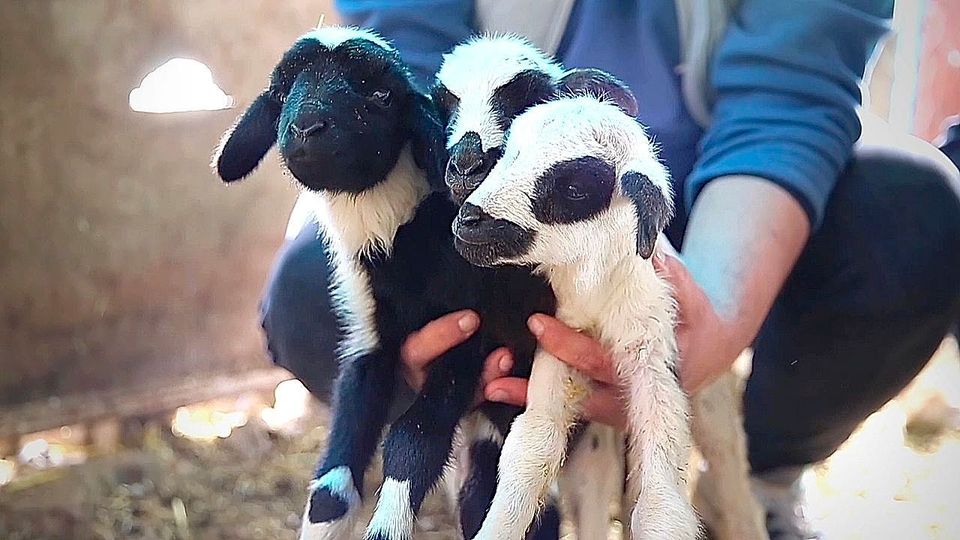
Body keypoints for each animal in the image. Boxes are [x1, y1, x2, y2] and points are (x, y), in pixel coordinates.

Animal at [212, 26, 560, 540]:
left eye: (380, 95)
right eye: (282, 91)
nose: (306, 128)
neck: (402, 248)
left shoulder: (466, 334)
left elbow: (413, 440)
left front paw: (387, 527)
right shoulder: (370, 342)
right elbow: (331, 487)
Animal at [451, 92, 698, 539]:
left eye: (574, 189)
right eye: (509, 151)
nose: (469, 218)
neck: (594, 295)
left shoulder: (652, 346)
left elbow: (661, 500)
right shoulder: (558, 338)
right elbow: (533, 445)